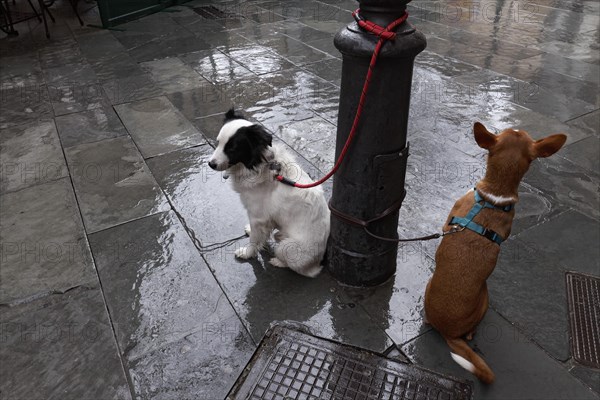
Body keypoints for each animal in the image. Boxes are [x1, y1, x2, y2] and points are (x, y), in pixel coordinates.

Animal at [206, 109, 328, 278]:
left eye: (232, 148)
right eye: (218, 143)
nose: (211, 164)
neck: (257, 167)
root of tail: (319, 262)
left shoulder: (258, 216)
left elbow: (254, 240)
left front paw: (247, 253)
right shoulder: (265, 219)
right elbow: (260, 235)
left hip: (287, 247)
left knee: (300, 269)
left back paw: (278, 262)